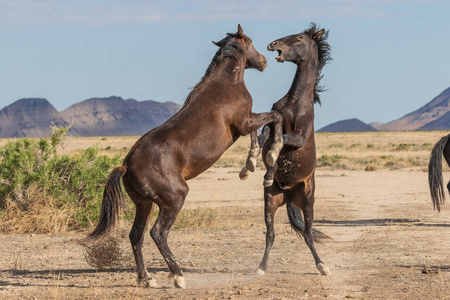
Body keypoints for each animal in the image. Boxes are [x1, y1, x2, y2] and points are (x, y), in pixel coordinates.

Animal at [86, 25, 284, 288]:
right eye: (250, 42)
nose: (263, 61)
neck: (225, 84)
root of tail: (126, 166)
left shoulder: (245, 123)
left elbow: (258, 133)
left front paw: (249, 163)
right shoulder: (244, 122)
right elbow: (274, 118)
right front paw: (270, 156)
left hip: (144, 204)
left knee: (136, 235)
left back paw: (147, 279)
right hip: (174, 199)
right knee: (157, 233)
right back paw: (178, 275)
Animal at [241, 23, 332, 276]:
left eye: (299, 37)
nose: (273, 44)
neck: (295, 102)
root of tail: (290, 194)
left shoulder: (300, 136)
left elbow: (280, 139)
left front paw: (269, 160)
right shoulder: (273, 120)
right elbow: (264, 135)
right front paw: (250, 163)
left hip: (308, 202)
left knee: (308, 234)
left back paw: (323, 266)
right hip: (270, 201)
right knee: (270, 234)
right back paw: (261, 268)